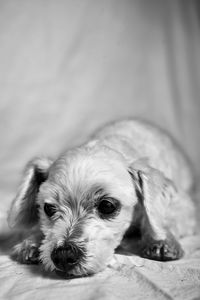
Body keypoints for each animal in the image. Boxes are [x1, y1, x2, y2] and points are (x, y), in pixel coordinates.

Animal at [7, 119, 196, 276]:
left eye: (107, 206)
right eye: (49, 208)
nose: (63, 256)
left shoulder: (185, 208)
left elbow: (159, 220)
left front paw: (161, 240)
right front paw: (32, 242)